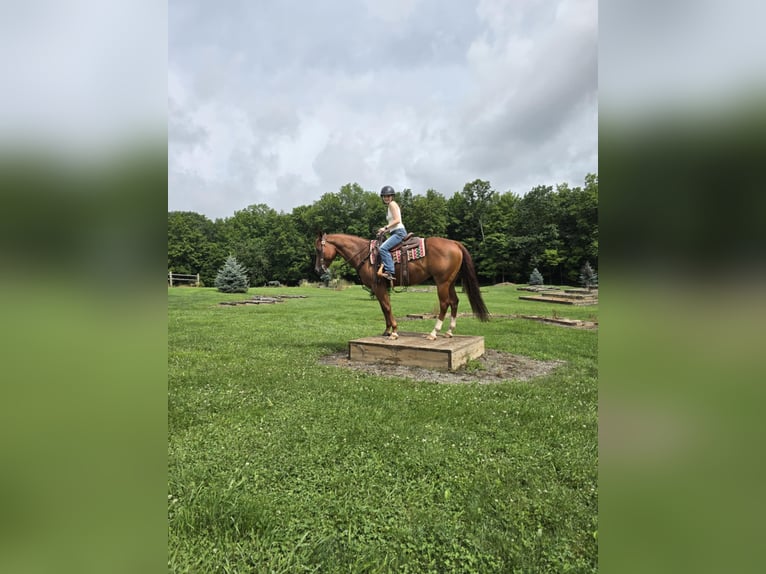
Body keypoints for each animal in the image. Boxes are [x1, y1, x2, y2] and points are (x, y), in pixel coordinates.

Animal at [314, 232, 489, 340]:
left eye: (318, 250)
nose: (317, 269)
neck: (365, 255)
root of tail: (454, 243)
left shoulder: (379, 287)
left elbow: (387, 307)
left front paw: (394, 332)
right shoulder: (381, 288)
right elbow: (384, 307)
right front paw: (387, 331)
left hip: (442, 283)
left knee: (444, 304)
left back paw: (434, 333)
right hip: (450, 282)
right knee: (455, 302)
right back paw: (449, 332)